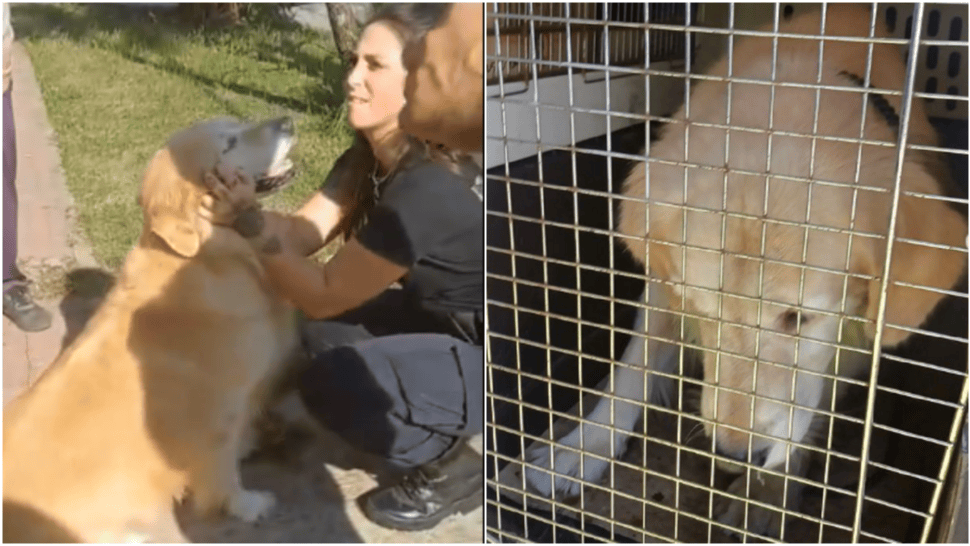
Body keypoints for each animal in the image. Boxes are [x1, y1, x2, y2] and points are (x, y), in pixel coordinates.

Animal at [524, 5, 964, 536]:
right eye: (702, 308)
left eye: (798, 318)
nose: (736, 455)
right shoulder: (664, 286)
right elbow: (633, 367)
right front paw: (584, 447)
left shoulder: (853, 338)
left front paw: (766, 496)